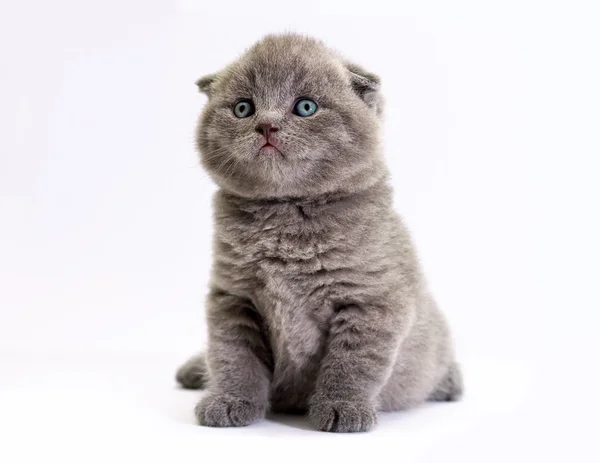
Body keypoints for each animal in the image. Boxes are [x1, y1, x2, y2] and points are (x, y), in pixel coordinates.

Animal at [176, 34, 462, 434]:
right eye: (243, 108)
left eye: (306, 106)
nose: (266, 126)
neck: (285, 214)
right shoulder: (233, 297)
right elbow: (232, 355)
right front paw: (230, 401)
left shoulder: (373, 301)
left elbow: (352, 363)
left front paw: (343, 408)